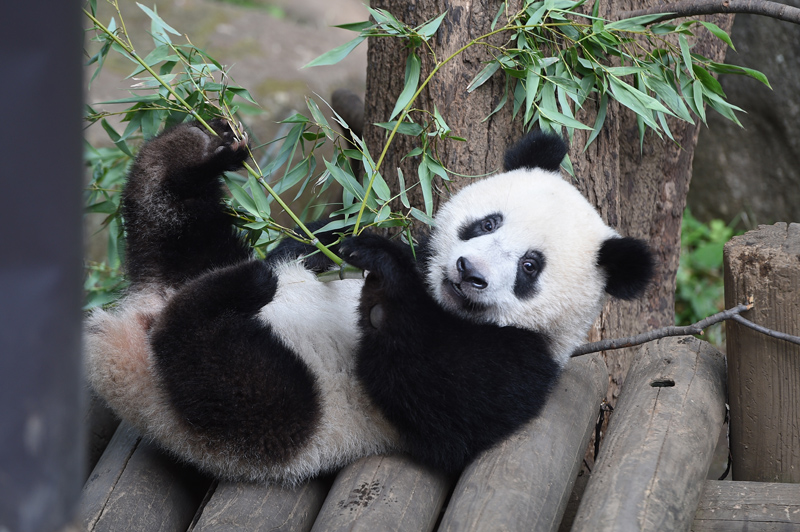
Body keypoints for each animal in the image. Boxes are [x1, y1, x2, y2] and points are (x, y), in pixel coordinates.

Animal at [84, 120, 652, 486]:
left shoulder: (526, 361)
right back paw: (209, 153)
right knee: (169, 209)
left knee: (225, 372)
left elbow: (440, 399)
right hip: (191, 258)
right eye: (487, 223)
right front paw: (343, 245)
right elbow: (315, 242)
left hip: (276, 422)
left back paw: (236, 293)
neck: (442, 304)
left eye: (531, 267)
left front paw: (384, 273)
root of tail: (128, 328)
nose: (468, 273)